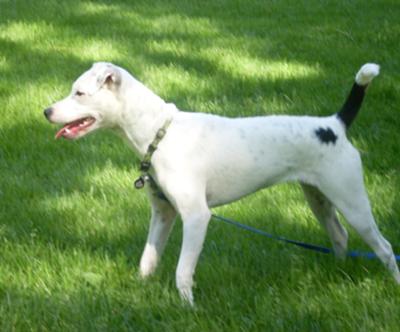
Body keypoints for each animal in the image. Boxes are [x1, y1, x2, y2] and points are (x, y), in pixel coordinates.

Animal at [43, 61, 400, 304]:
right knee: (339, 236)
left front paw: (188, 308)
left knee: (384, 248)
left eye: (79, 93)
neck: (161, 132)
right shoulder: (163, 214)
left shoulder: (196, 217)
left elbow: (182, 271)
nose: (46, 111)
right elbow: (148, 260)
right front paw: (140, 292)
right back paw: (338, 270)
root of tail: (334, 124)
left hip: (352, 201)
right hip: (320, 200)